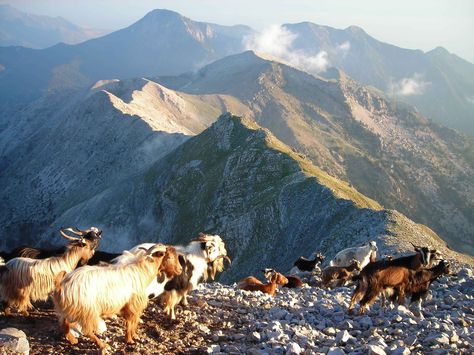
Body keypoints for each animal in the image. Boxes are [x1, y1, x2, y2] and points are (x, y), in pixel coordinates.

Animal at [52, 245, 182, 350]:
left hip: (72, 310)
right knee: (87, 331)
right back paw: (102, 345)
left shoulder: (130, 305)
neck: (142, 272)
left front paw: (134, 336)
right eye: (169, 257)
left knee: (64, 324)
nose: (180, 270)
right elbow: (130, 322)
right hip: (87, 311)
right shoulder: (132, 305)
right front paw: (129, 340)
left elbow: (134, 322)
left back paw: (73, 340)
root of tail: (62, 286)